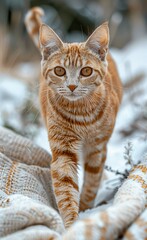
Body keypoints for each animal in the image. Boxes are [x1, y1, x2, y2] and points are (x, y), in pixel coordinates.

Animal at [25, 7, 123, 229]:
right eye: (59, 71)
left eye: (86, 71)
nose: (71, 86)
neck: (82, 115)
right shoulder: (63, 152)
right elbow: (66, 189)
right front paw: (71, 224)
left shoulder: (97, 148)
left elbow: (92, 182)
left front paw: (86, 208)